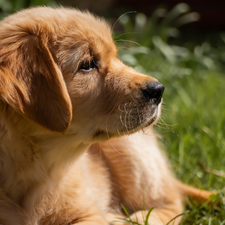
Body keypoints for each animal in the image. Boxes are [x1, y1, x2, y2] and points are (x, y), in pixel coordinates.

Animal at [0, 7, 211, 225]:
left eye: (116, 57)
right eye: (87, 64)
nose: (159, 90)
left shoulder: (89, 213)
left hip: (133, 153)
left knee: (171, 201)